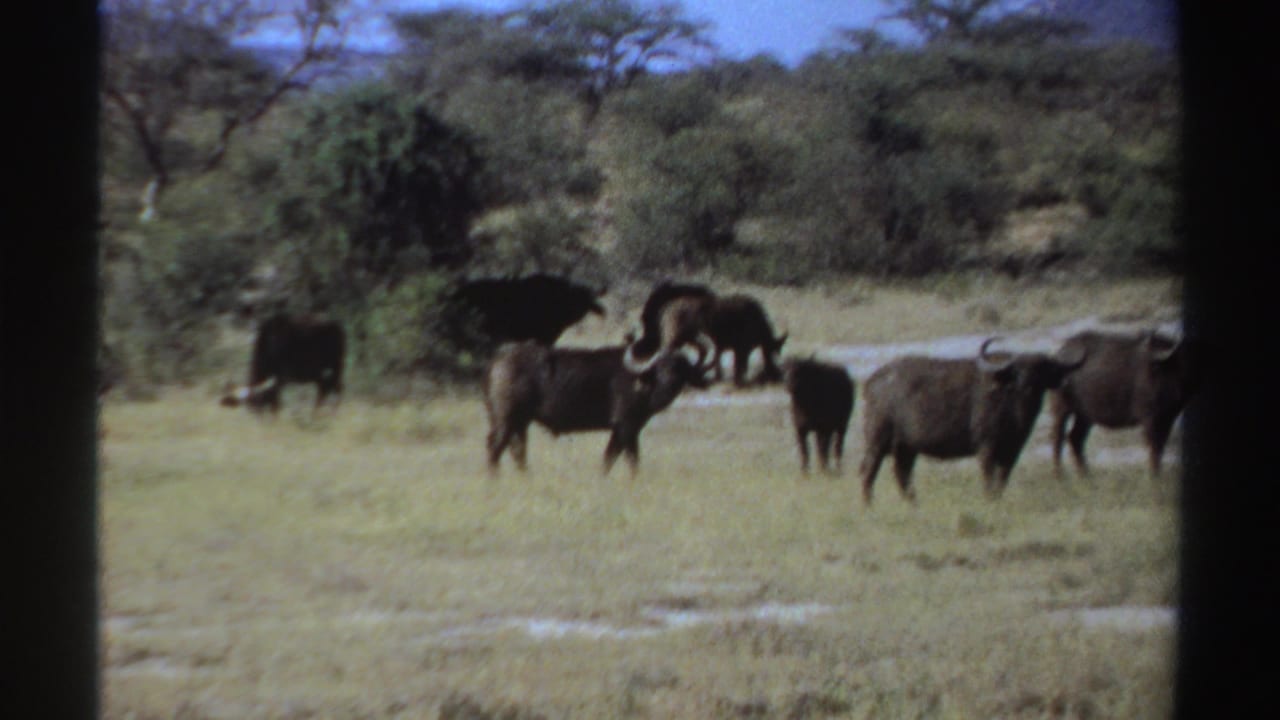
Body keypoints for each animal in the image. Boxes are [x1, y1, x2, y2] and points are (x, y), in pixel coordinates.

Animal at [483, 337, 714, 477]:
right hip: (507, 420)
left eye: (681, 367)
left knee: (517, 451)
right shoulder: (627, 427)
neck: (642, 383)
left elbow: (610, 459)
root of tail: (499, 359)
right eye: (660, 367)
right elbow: (629, 460)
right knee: (496, 448)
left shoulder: (620, 431)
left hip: (520, 423)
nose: (670, 383)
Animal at [859, 338, 1086, 503]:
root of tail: (873, 381)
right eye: (1017, 370)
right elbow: (989, 477)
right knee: (869, 472)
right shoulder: (987, 447)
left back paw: (913, 503)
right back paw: (869, 505)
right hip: (876, 441)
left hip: (906, 448)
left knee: (902, 474)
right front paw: (989, 499)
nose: (1027, 385)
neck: (1015, 409)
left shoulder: (1013, 450)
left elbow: (1003, 478)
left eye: (1043, 370)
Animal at [1049, 329, 1201, 477]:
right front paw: (1154, 476)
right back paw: (1060, 476)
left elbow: (1161, 446)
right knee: (1058, 438)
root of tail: (1061, 353)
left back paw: (1087, 476)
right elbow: (1154, 447)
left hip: (1085, 415)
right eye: (1183, 356)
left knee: (1075, 438)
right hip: (1061, 409)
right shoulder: (1150, 418)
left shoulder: (1168, 418)